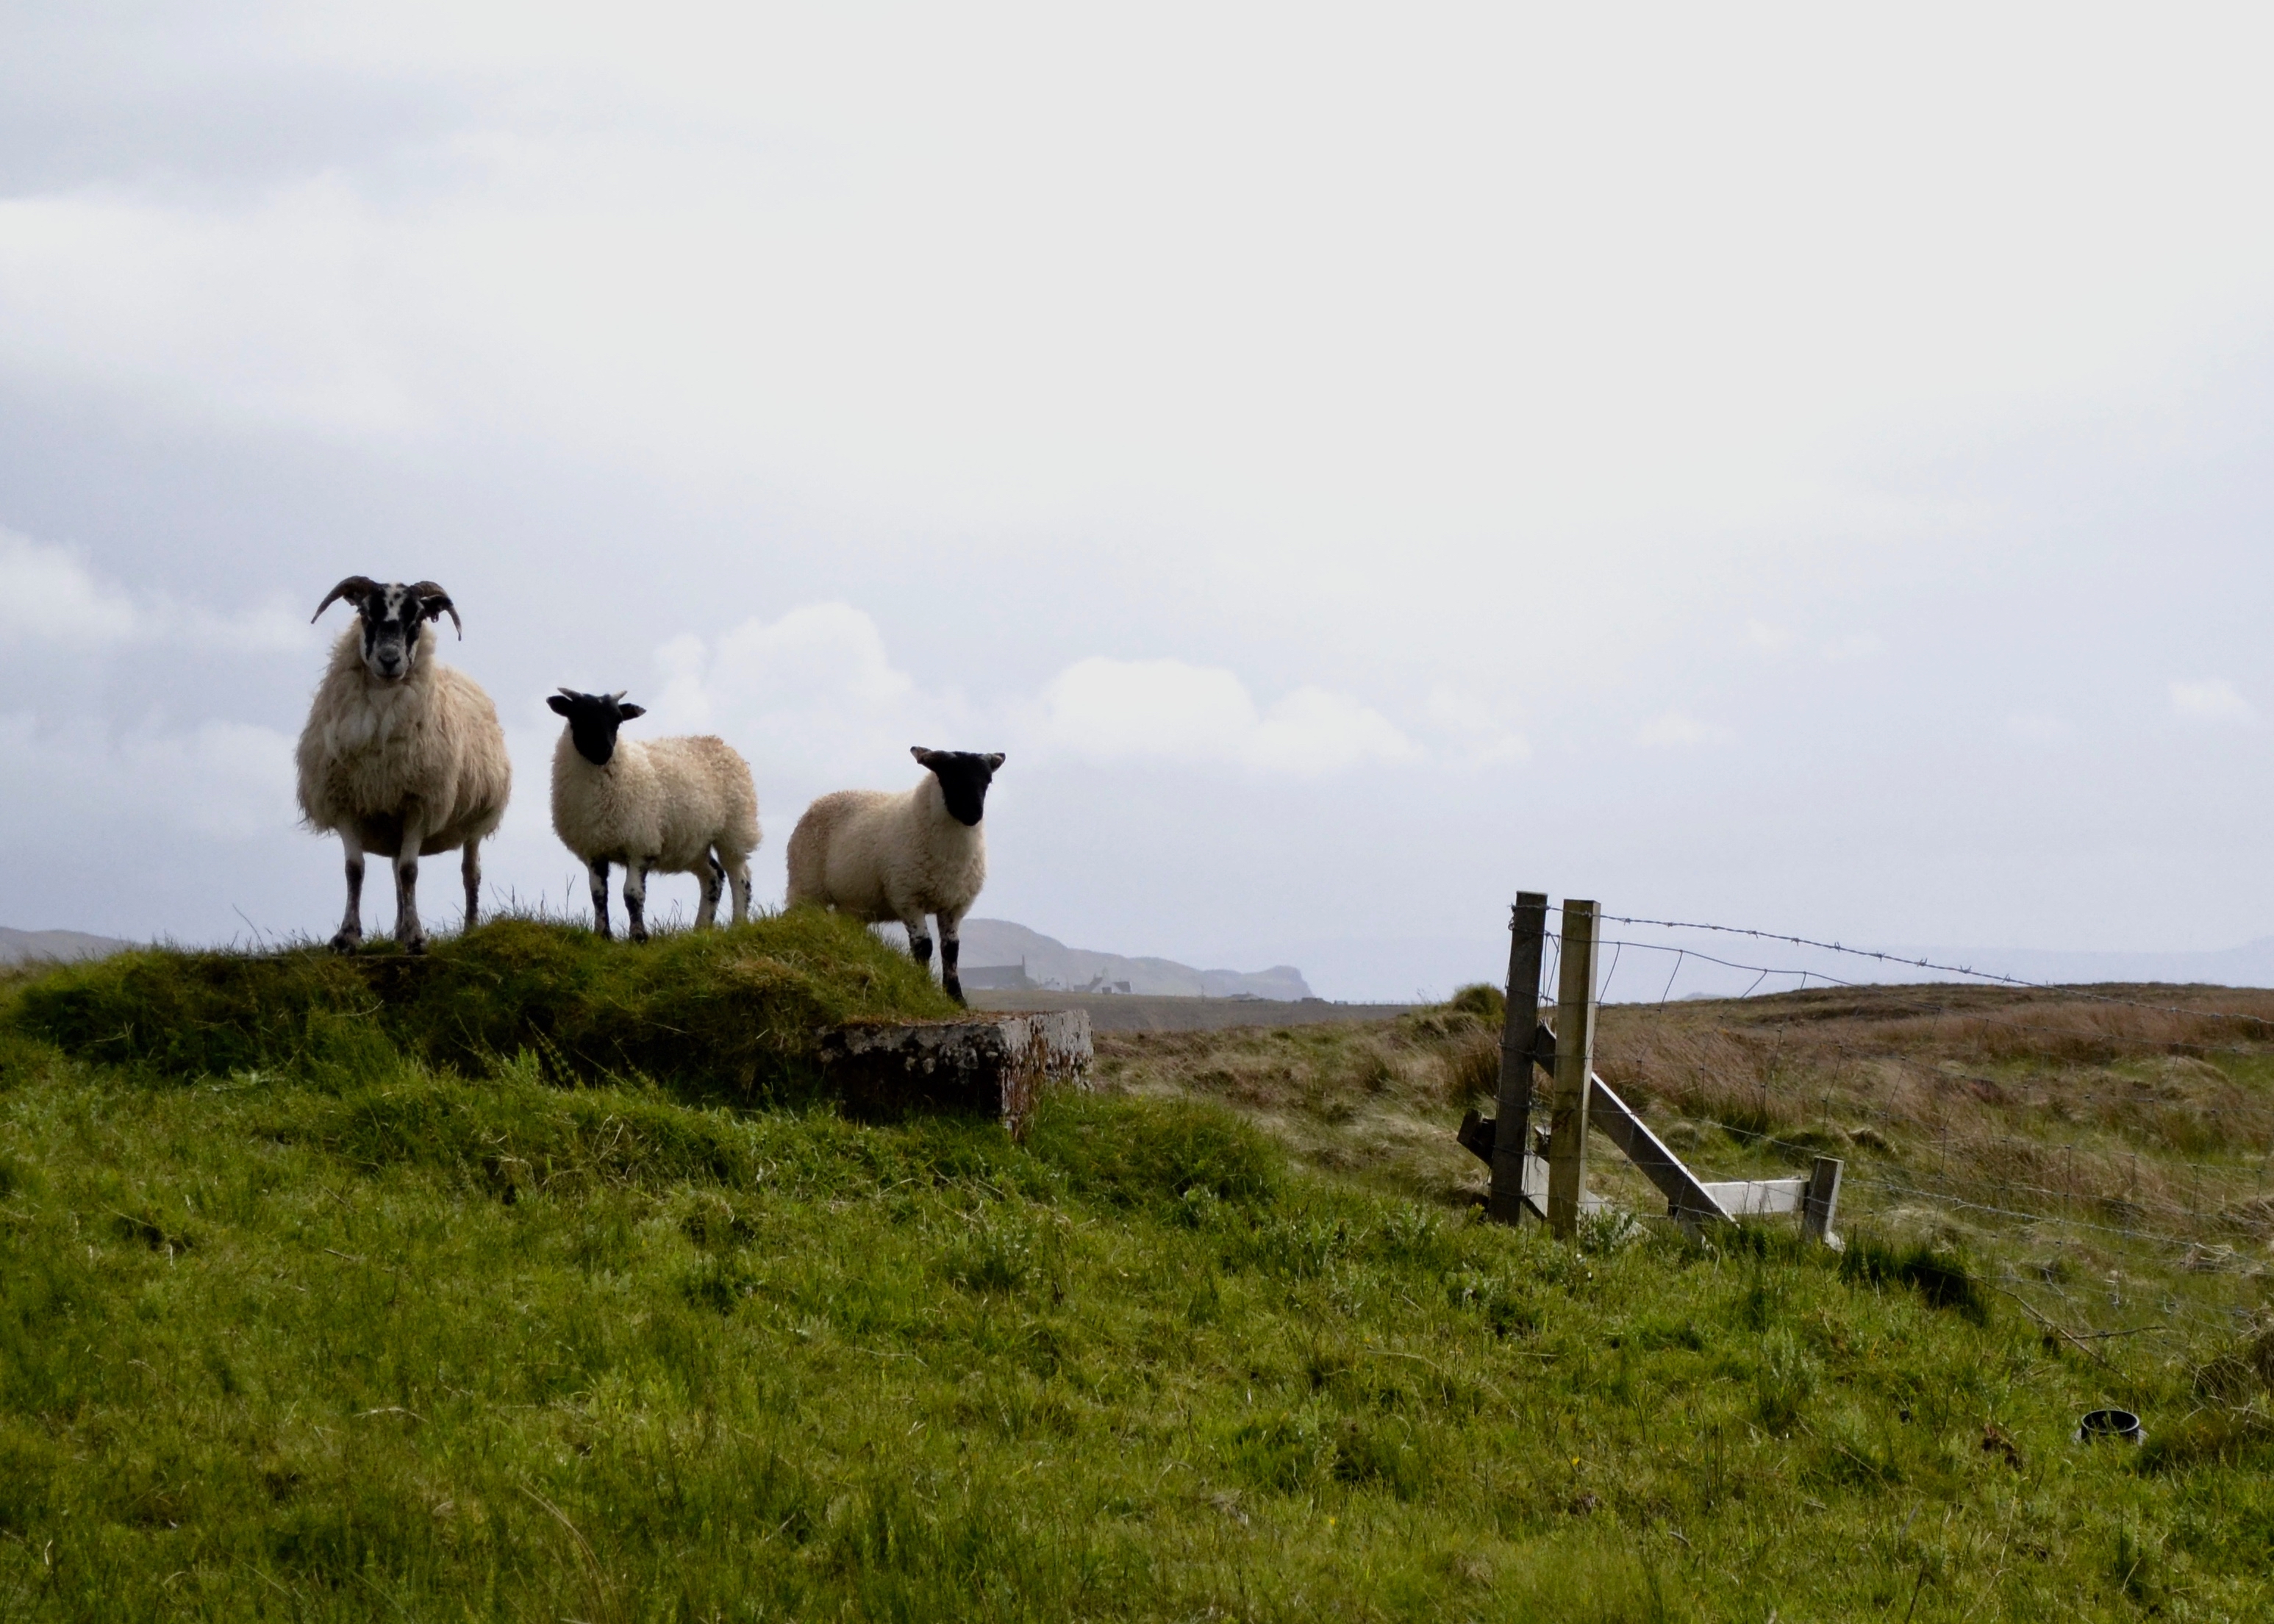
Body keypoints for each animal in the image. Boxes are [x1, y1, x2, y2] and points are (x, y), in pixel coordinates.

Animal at [296, 577, 512, 954]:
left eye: (418, 619)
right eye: (365, 613)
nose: (389, 660)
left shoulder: (420, 803)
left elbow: (411, 870)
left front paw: (416, 938)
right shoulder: (346, 802)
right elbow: (355, 870)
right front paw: (347, 936)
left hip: (475, 819)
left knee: (469, 872)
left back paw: (469, 929)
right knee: (397, 872)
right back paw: (398, 929)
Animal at [547, 688, 760, 943]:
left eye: (618, 720)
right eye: (578, 716)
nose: (604, 751)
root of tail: (718, 743)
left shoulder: (641, 843)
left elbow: (632, 894)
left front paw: (638, 937)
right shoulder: (594, 849)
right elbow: (598, 894)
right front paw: (602, 934)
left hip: (735, 830)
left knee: (740, 877)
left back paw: (738, 924)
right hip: (694, 844)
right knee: (713, 876)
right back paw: (701, 929)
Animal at [785, 747, 1004, 1003]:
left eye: (987, 781)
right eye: (949, 777)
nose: (973, 814)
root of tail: (817, 801)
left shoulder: (954, 905)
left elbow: (951, 950)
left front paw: (956, 998)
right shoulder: (907, 897)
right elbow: (923, 947)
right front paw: (923, 988)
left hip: (850, 905)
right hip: (806, 886)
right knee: (796, 917)